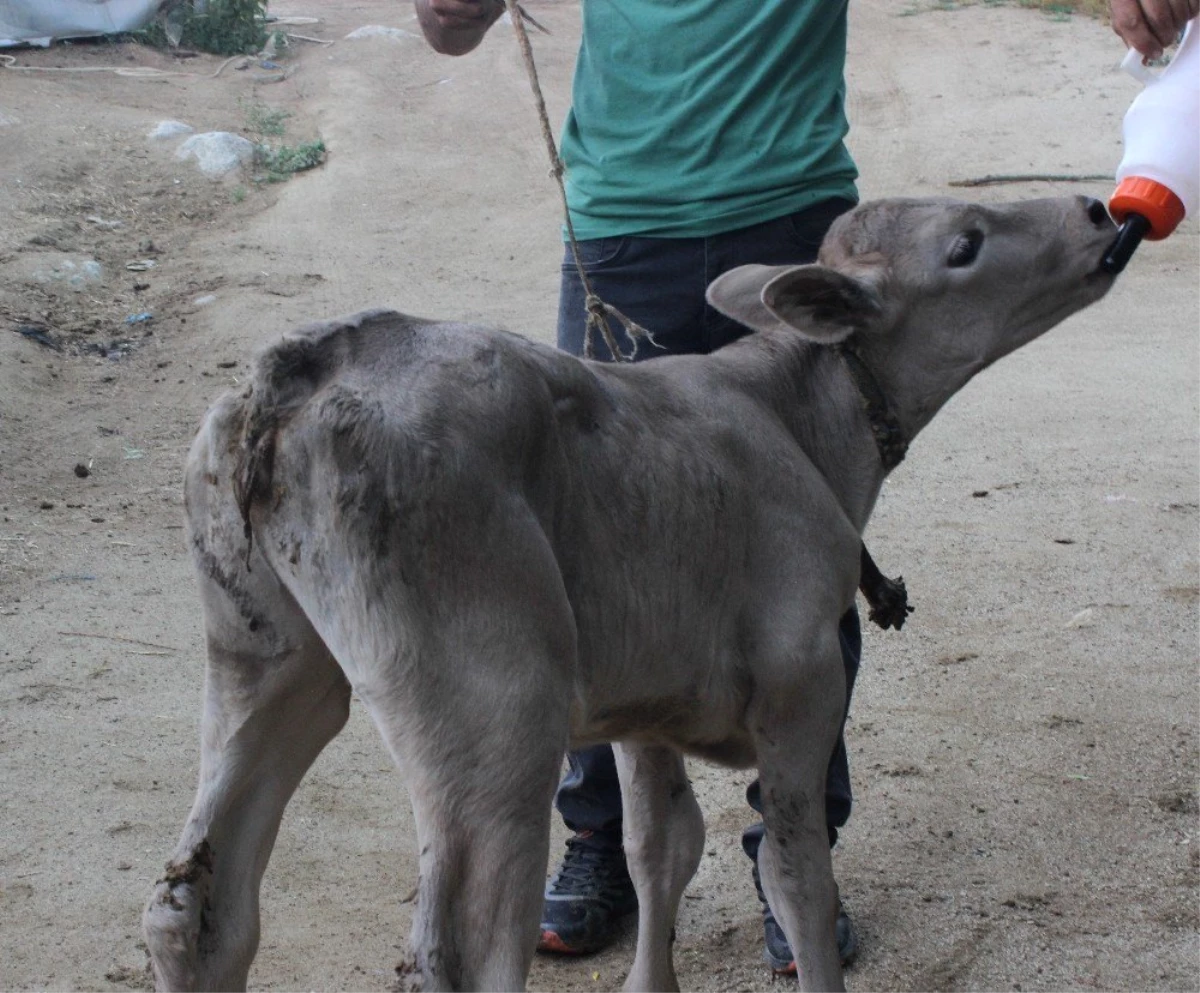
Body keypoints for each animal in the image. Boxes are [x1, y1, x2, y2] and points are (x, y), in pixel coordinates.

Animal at [145, 195, 1118, 993]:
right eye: (965, 243)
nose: (1099, 209)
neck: (801, 420)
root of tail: (295, 370)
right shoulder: (802, 679)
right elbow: (795, 875)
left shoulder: (647, 700)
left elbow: (662, 845)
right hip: (493, 704)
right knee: (465, 947)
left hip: (267, 654)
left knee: (196, 904)